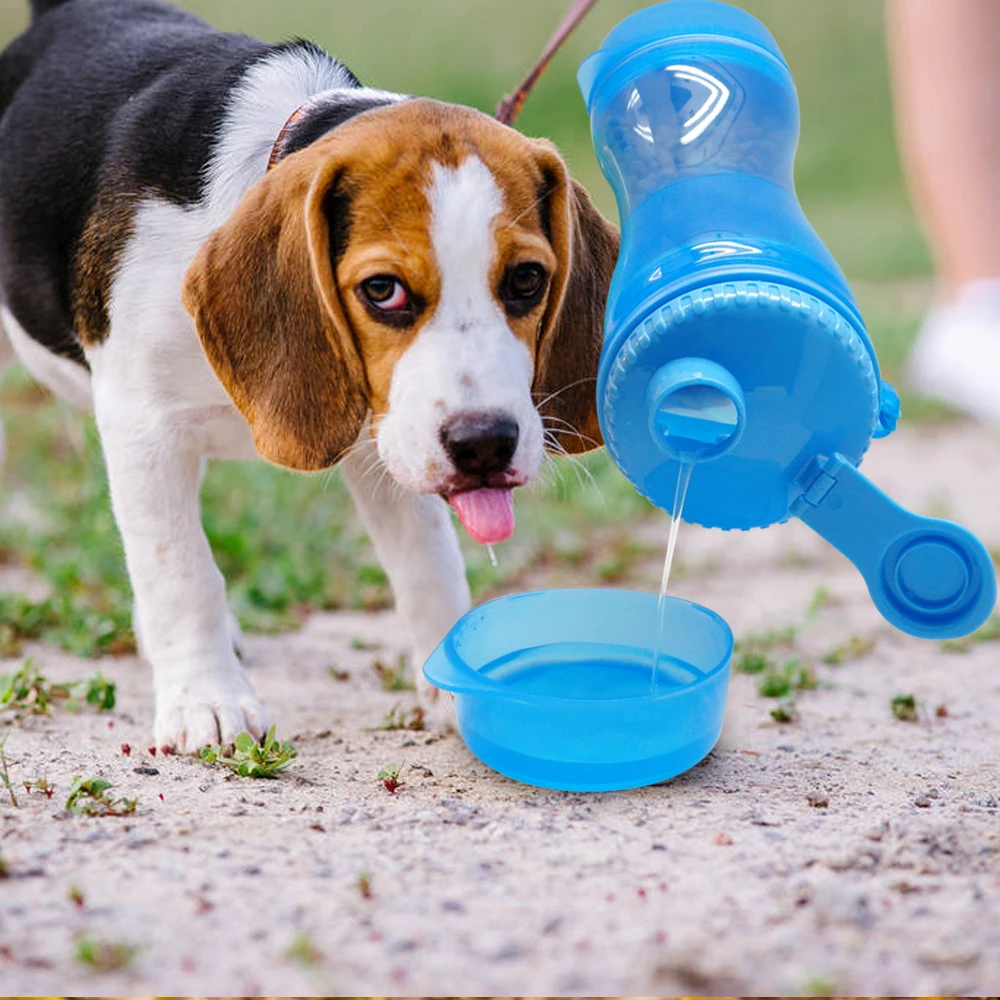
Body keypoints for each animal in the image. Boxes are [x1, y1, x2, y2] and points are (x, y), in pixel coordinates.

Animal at [0, 0, 620, 752]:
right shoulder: (142, 425)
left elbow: (430, 565)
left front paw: (452, 686)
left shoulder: (390, 433)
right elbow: (181, 567)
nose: (484, 445)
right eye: (382, 290)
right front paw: (206, 700)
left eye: (528, 280)